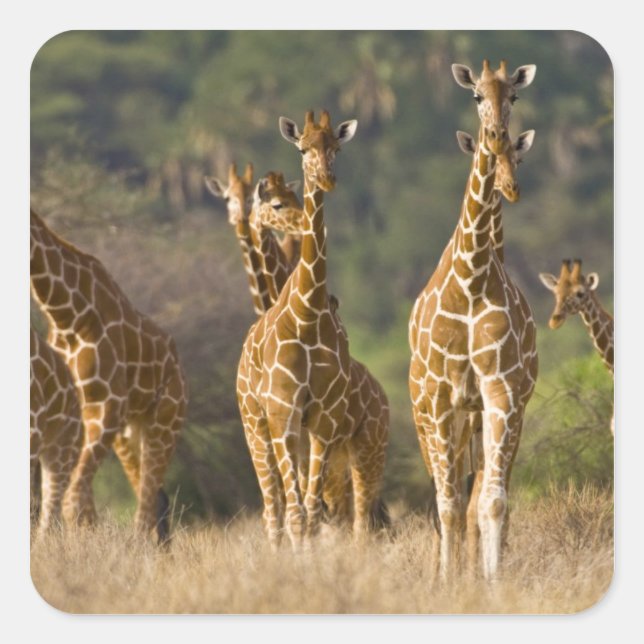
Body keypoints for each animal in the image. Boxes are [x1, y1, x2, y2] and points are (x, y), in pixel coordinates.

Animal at [236, 110, 357, 549]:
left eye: (336, 147)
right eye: (303, 148)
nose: (326, 179)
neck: (307, 313)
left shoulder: (322, 419)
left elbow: (311, 514)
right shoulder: (282, 413)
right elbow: (294, 514)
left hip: (299, 434)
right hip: (255, 422)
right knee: (273, 511)